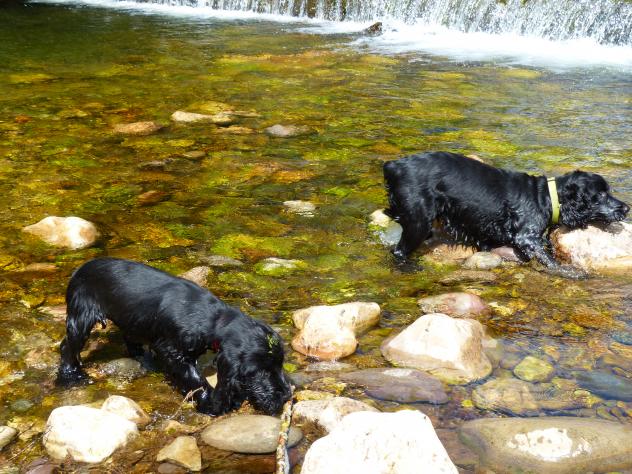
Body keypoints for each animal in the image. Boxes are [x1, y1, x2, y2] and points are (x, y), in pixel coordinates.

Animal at [57, 257, 292, 416]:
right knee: (68, 347)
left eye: (279, 366)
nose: (287, 396)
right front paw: (209, 404)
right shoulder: (173, 350)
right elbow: (195, 379)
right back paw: (70, 377)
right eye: (262, 371)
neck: (212, 319)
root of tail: (79, 269)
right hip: (81, 315)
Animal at [383, 151, 629, 276]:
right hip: (418, 222)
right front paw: (571, 272)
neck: (545, 198)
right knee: (399, 251)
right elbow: (549, 261)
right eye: (602, 194)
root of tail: (393, 166)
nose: (627, 208)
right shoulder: (526, 237)